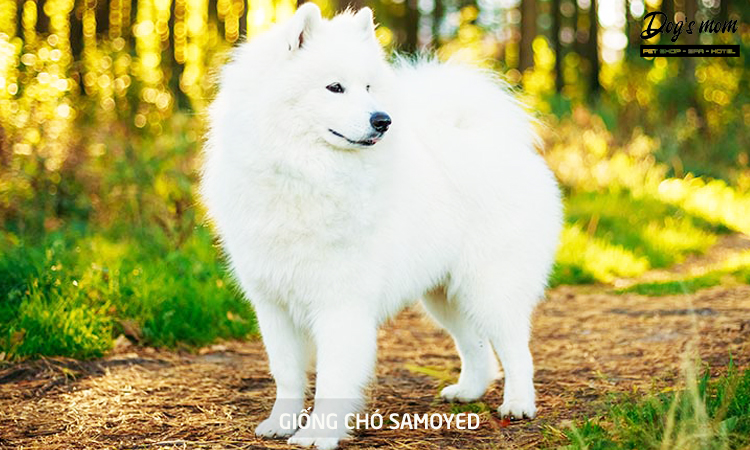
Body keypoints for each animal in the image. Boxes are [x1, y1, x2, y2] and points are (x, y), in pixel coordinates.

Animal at [200, 4, 564, 450]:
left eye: (369, 87)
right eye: (335, 87)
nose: (383, 120)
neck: (304, 171)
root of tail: (501, 145)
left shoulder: (340, 303)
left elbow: (332, 378)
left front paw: (317, 434)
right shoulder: (273, 303)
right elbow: (286, 373)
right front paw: (281, 423)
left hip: (490, 287)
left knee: (516, 350)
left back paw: (518, 404)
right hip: (445, 295)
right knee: (477, 348)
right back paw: (468, 391)